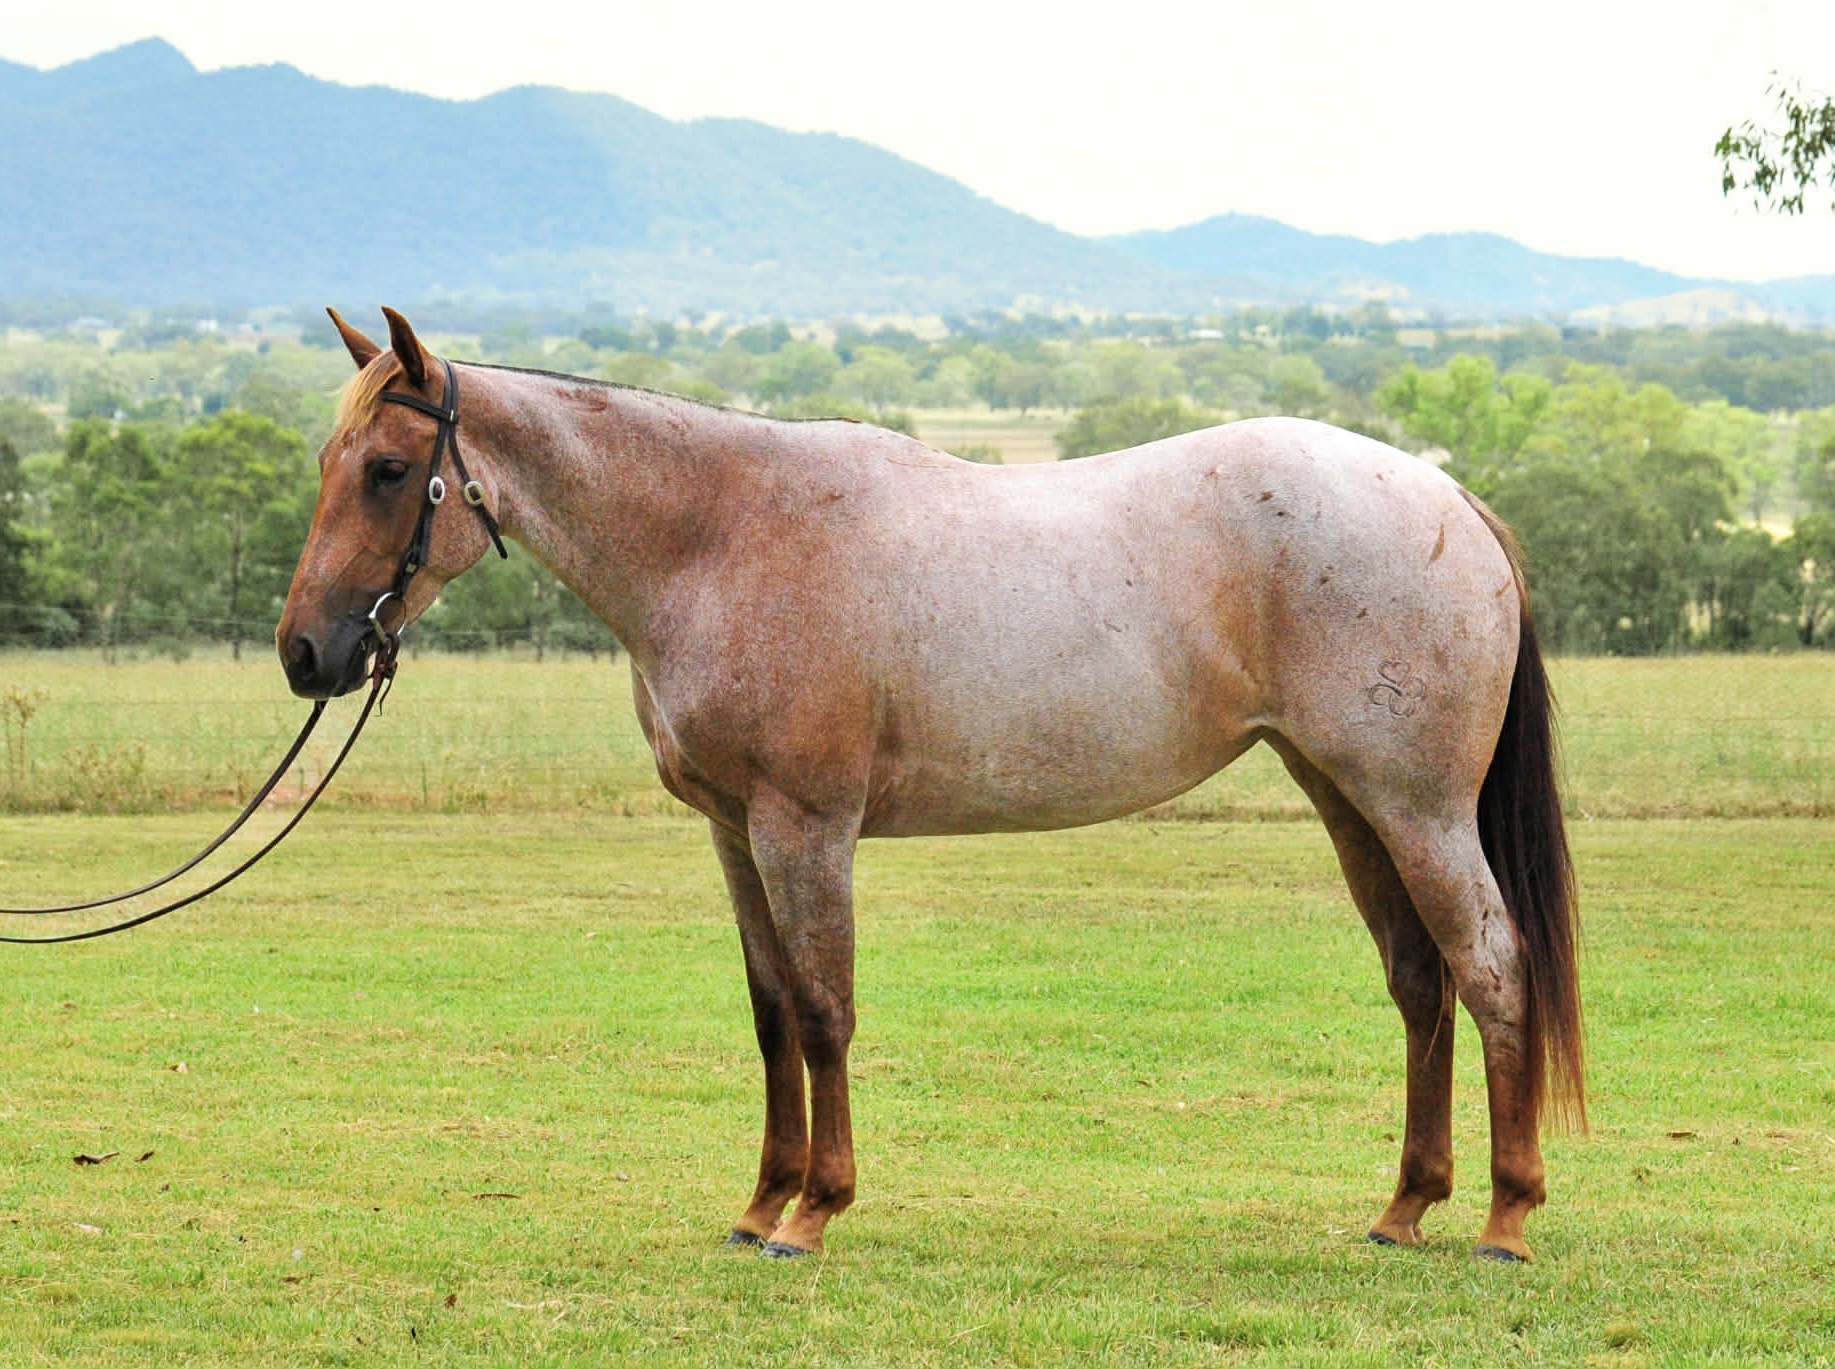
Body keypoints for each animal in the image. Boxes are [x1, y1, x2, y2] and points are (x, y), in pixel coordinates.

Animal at [278, 307, 1583, 1263]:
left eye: (388, 469)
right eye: (334, 463)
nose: (306, 653)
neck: (723, 535)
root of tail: (1444, 498)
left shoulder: (805, 826)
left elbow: (824, 1010)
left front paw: (814, 1213)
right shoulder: (732, 833)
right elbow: (769, 1013)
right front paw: (760, 1202)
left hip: (1416, 809)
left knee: (1489, 969)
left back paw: (1504, 1216)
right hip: (1344, 797)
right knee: (1418, 982)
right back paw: (1404, 1207)